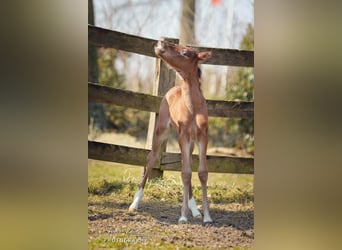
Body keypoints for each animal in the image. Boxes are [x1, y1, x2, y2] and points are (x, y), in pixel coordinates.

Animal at [130, 40, 212, 224]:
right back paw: (134, 203)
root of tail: (172, 89)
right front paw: (182, 216)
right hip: (162, 131)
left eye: (186, 53)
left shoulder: (202, 136)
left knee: (186, 164)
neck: (193, 108)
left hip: (190, 142)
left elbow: (201, 172)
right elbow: (186, 173)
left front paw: (206, 216)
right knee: (152, 159)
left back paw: (195, 210)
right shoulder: (183, 135)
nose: (160, 43)